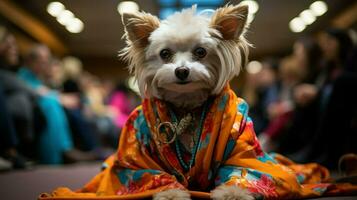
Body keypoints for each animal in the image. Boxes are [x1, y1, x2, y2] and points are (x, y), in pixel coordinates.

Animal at [120, 3, 253, 200]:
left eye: (201, 52)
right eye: (165, 53)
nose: (182, 71)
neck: (186, 106)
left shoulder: (241, 138)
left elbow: (242, 166)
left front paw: (234, 193)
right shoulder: (137, 149)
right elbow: (150, 173)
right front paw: (171, 193)